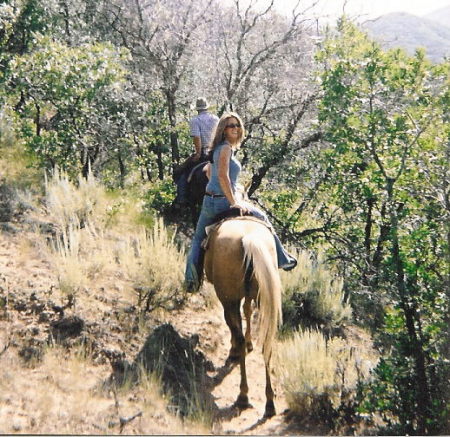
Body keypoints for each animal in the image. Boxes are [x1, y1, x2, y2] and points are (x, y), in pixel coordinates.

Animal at [204, 216, 282, 418]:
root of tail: (249, 239)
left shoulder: (230, 300)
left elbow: (234, 325)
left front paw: (234, 351)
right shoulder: (248, 296)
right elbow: (247, 310)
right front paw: (249, 343)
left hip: (229, 298)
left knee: (237, 333)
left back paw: (243, 396)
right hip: (264, 298)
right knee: (268, 342)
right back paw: (270, 403)